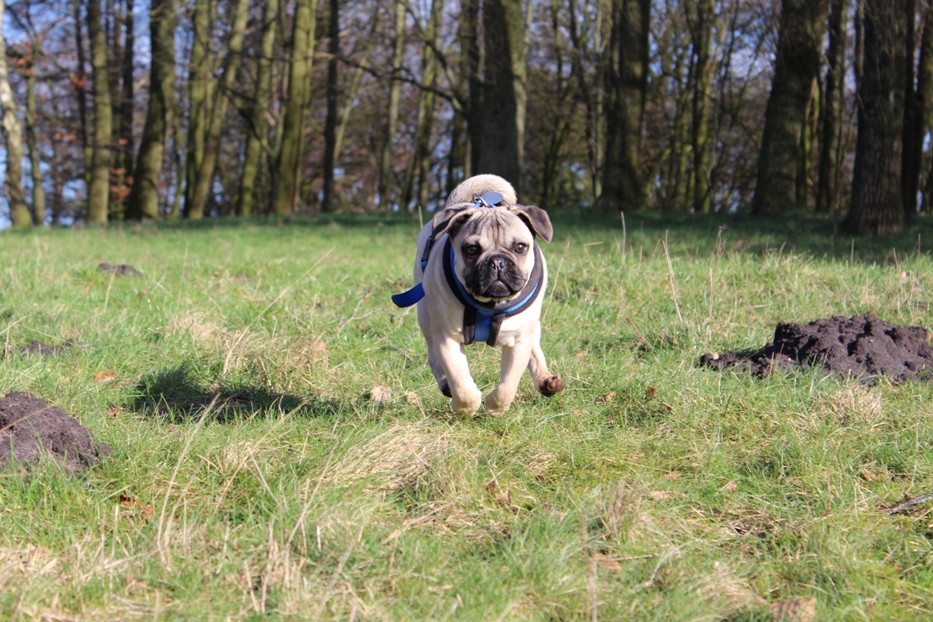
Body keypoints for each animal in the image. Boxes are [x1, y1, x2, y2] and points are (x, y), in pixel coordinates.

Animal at [392, 174, 564, 414]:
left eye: (520, 247)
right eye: (471, 250)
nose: (497, 262)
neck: (490, 304)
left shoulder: (520, 340)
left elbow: (508, 385)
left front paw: (494, 408)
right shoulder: (447, 339)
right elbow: (461, 384)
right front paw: (466, 408)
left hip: (532, 326)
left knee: (535, 350)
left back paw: (546, 380)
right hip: (426, 316)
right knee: (433, 356)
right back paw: (445, 383)